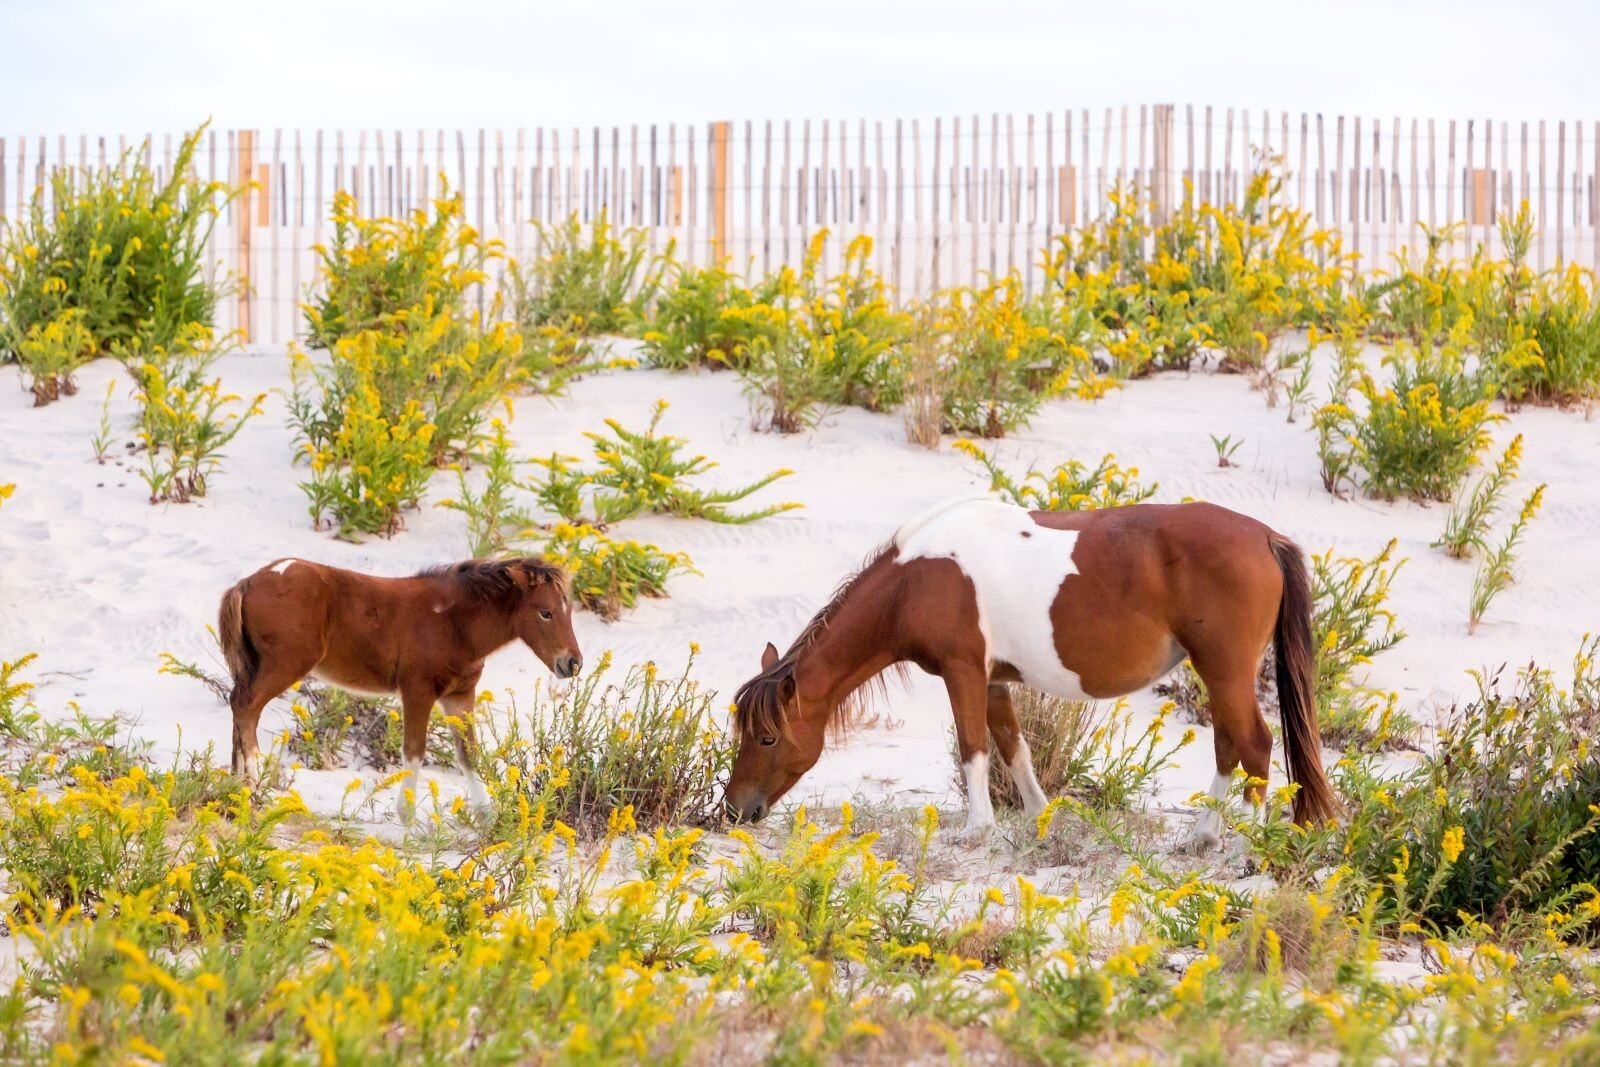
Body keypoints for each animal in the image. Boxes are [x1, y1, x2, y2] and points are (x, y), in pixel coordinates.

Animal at [217, 555, 581, 818]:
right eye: (545, 613)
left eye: (569, 610)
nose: (572, 663)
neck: (453, 623)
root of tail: (247, 583)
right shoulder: (418, 691)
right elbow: (415, 751)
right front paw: (406, 816)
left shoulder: (460, 695)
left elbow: (470, 754)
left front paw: (486, 817)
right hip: (286, 664)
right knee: (247, 707)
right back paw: (253, 785)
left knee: (238, 705)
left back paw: (236, 786)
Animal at [724, 497, 1336, 848]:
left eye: (767, 737)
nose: (734, 809)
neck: (915, 579)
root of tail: (1265, 537)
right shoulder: (993, 679)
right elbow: (1012, 746)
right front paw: (1041, 818)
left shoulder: (963, 671)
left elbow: (973, 747)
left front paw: (978, 829)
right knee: (1231, 744)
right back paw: (1205, 835)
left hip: (1224, 670)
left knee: (1254, 744)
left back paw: (1242, 843)